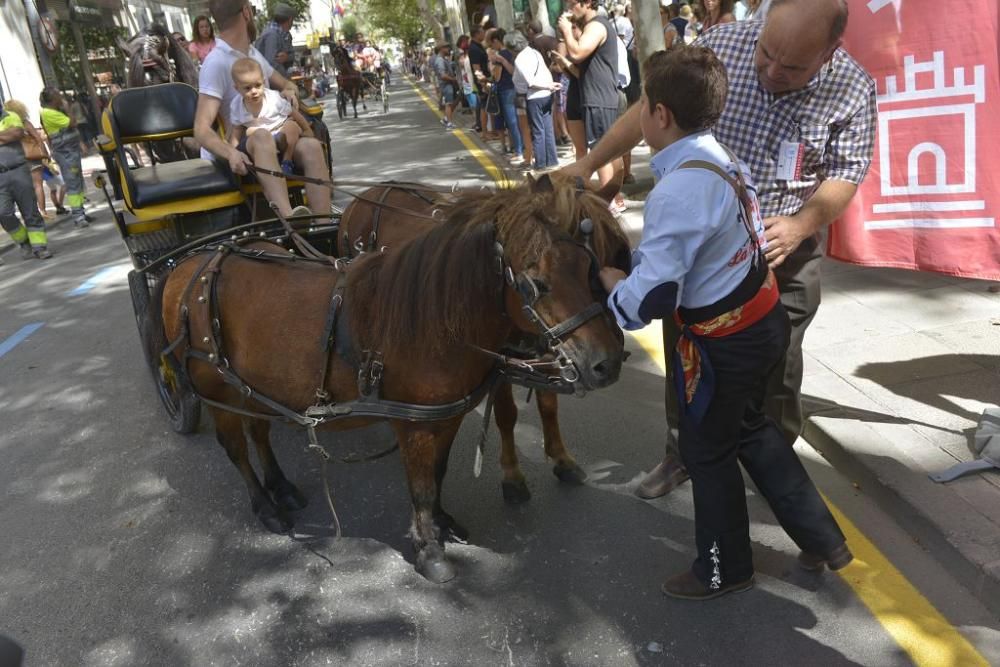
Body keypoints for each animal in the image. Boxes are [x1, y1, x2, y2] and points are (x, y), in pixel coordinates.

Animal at [338, 175, 632, 504]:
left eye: (618, 255)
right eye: (594, 263)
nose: (610, 360)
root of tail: (364, 196)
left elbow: (548, 405)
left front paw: (561, 458)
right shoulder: (497, 360)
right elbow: (506, 414)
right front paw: (512, 475)